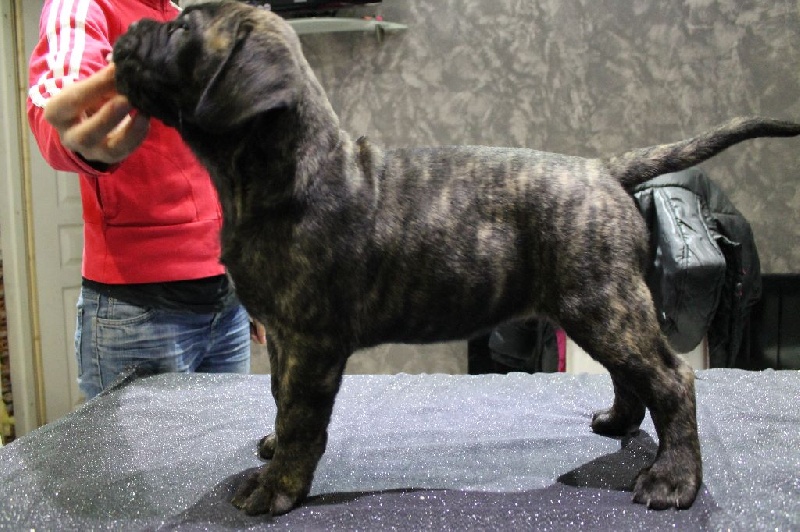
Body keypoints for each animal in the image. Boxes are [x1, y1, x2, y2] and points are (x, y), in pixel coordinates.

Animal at [113, 1, 800, 516]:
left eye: (181, 28)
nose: (127, 31)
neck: (275, 171)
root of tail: (602, 169)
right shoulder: (282, 336)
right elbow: (281, 398)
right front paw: (273, 444)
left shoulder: (311, 341)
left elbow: (304, 417)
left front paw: (278, 485)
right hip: (598, 306)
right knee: (636, 375)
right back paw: (619, 423)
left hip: (602, 303)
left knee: (672, 378)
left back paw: (673, 479)